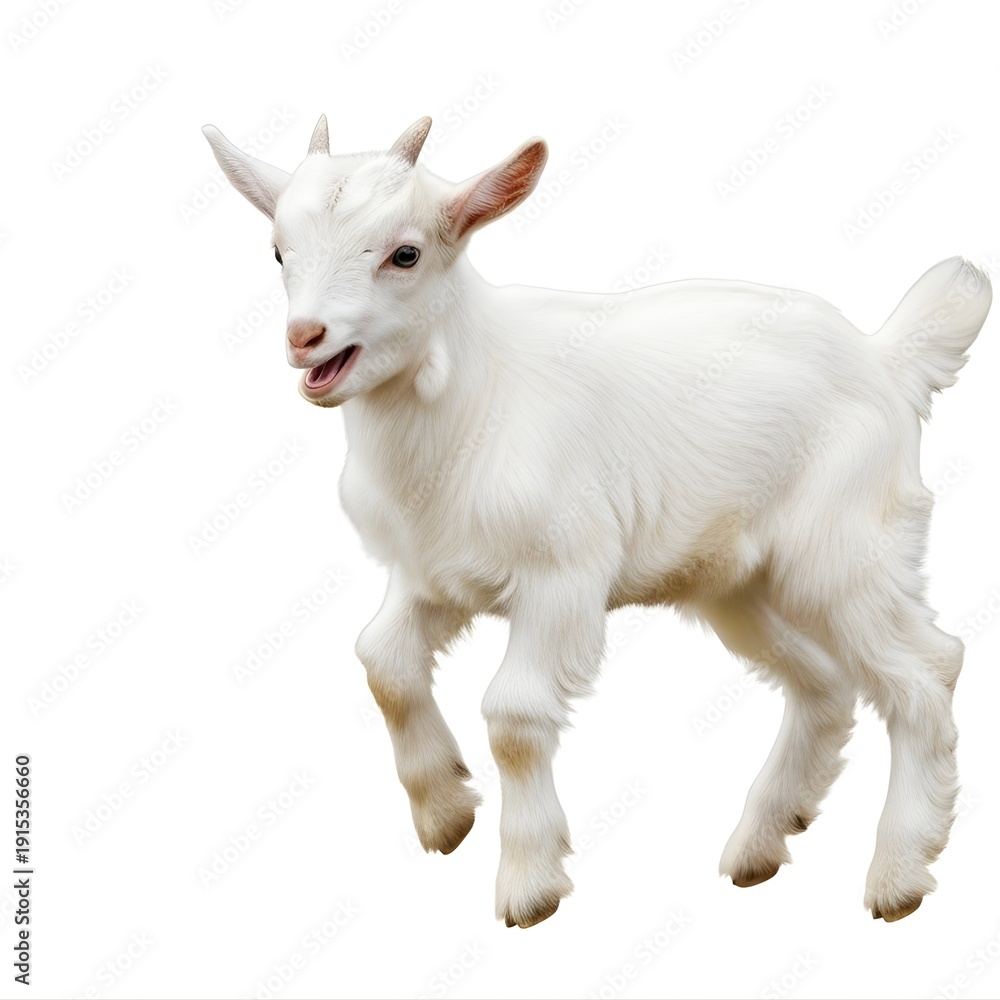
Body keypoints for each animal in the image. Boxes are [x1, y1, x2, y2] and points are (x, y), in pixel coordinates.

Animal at [203, 114, 991, 928]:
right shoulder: (432, 575)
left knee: (925, 669)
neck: (471, 397)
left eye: (405, 253)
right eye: (278, 251)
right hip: (741, 582)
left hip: (847, 546)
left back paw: (899, 874)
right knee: (826, 683)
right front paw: (446, 813)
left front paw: (528, 884)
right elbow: (380, 661)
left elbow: (514, 716)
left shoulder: (563, 576)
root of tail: (886, 358)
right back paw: (761, 846)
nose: (305, 336)